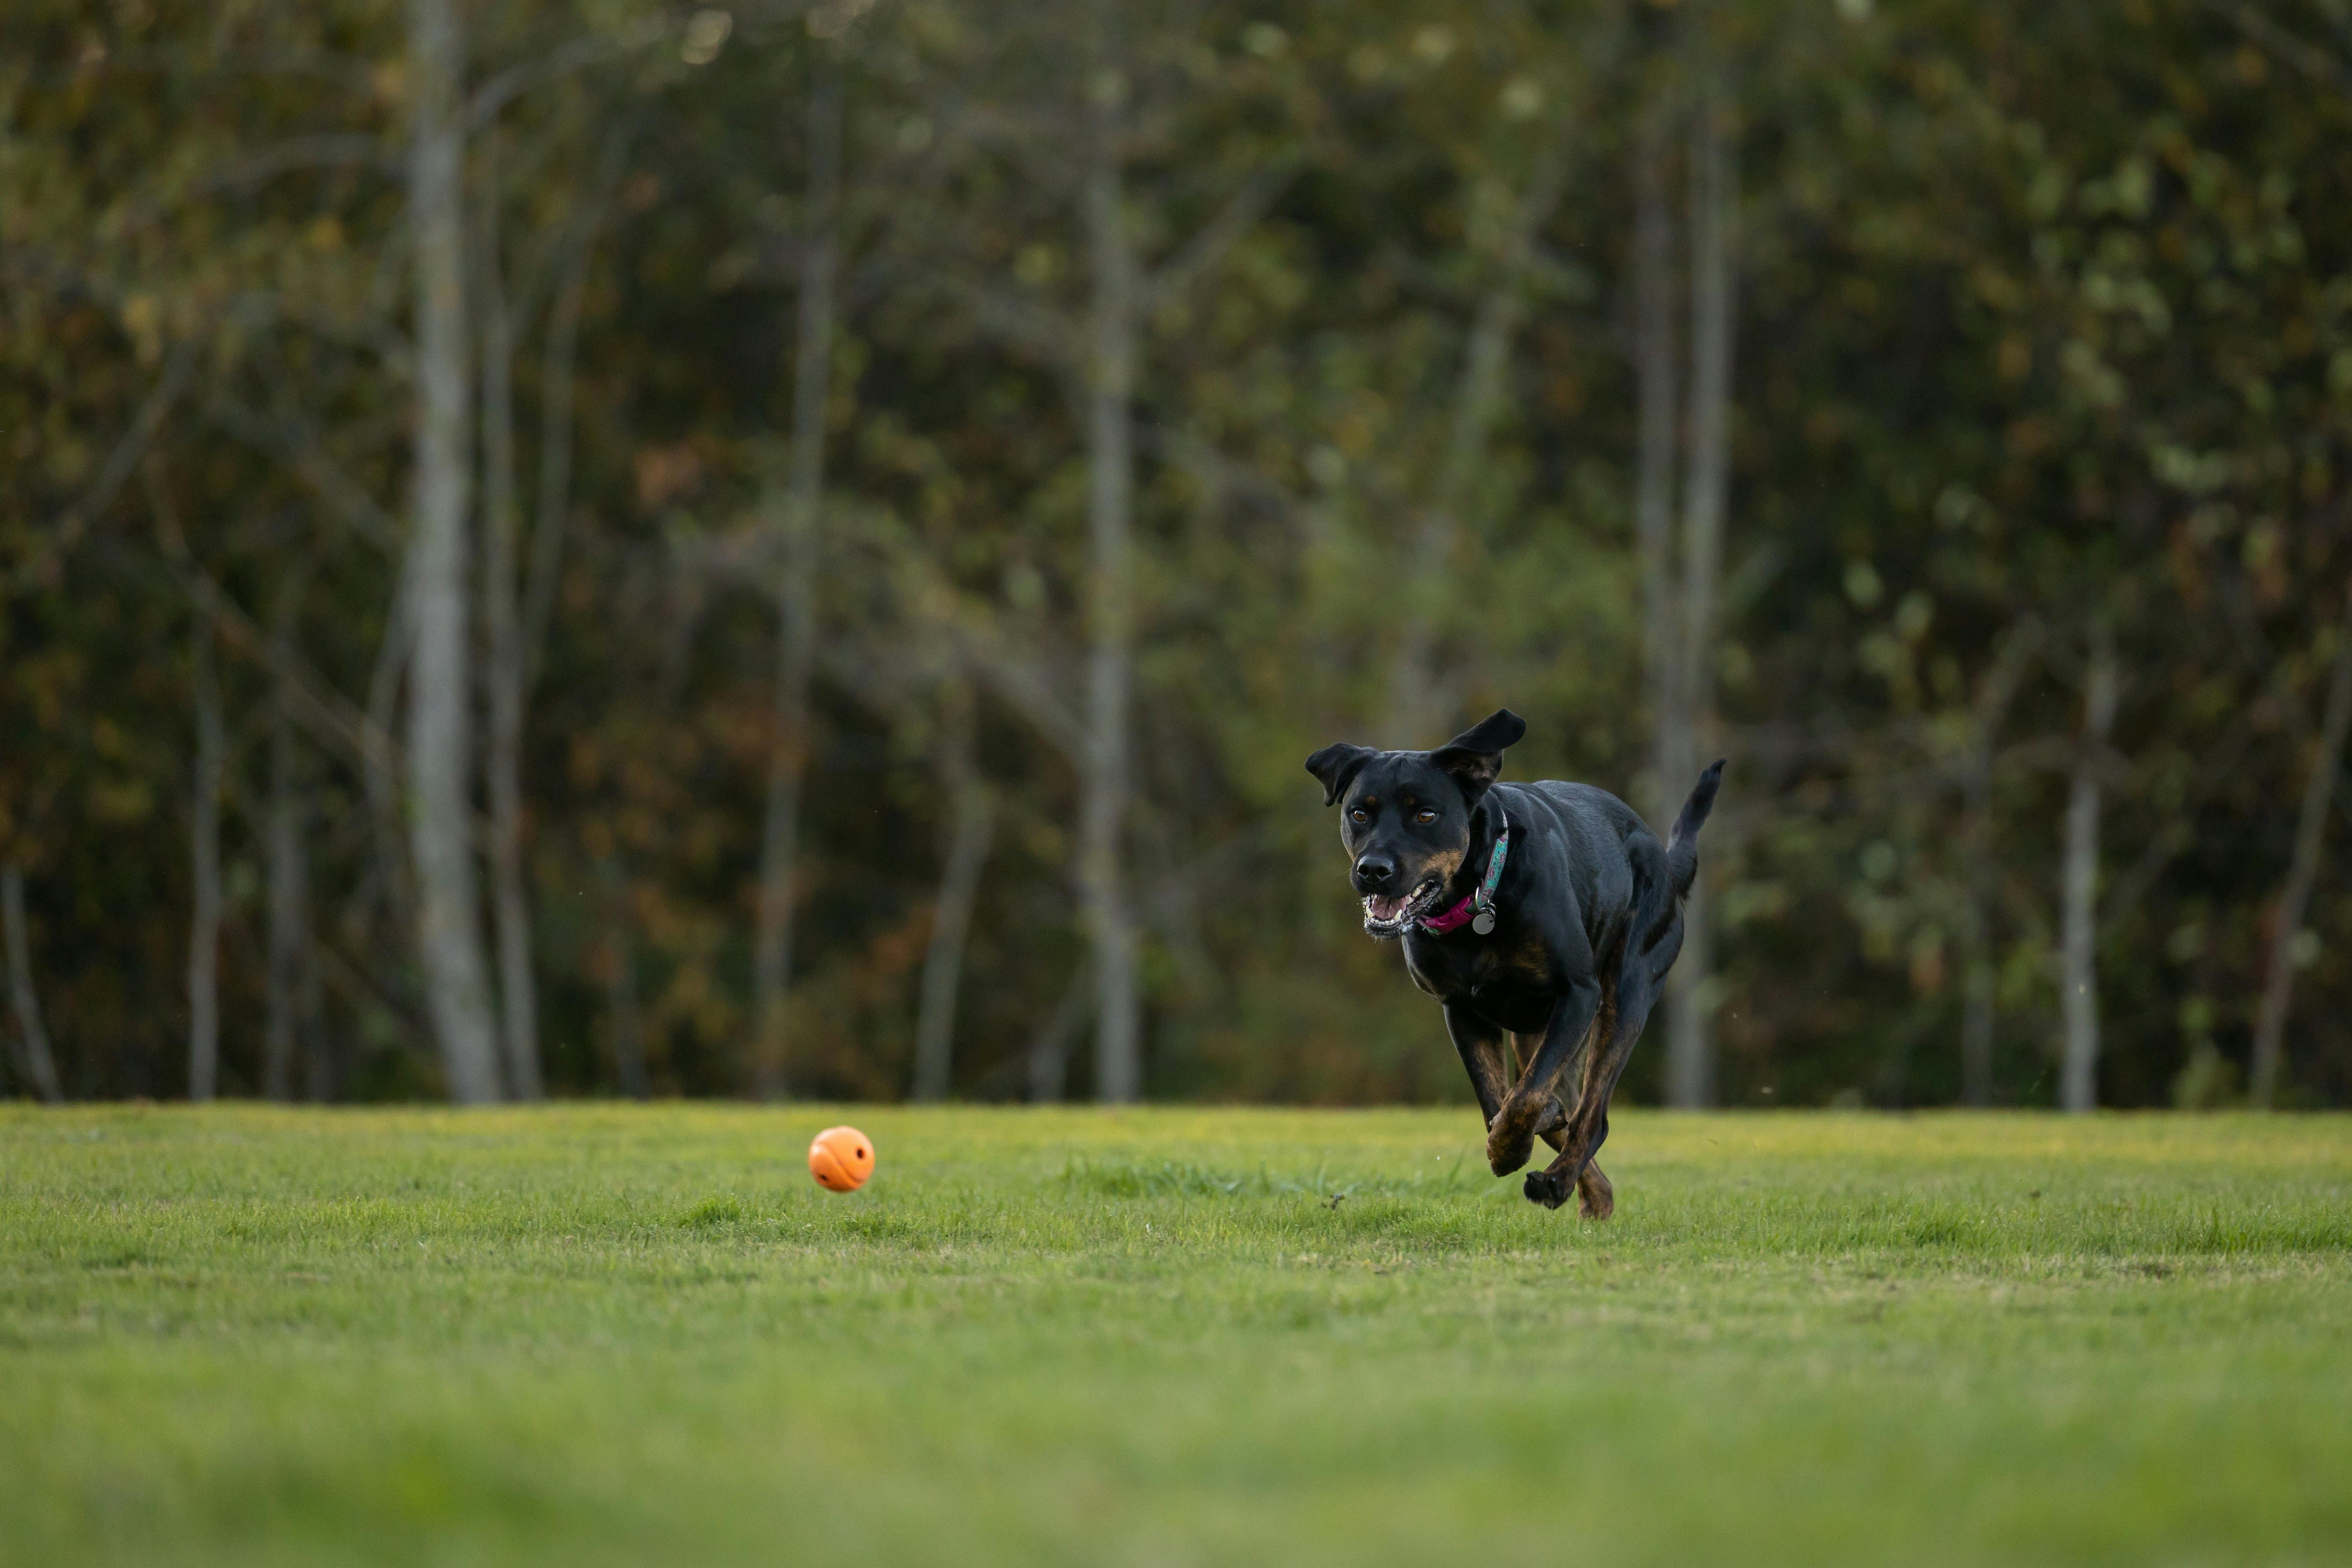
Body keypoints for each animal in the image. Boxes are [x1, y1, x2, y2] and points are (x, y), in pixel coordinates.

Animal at [1307, 710, 1712, 1213]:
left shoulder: (1578, 994)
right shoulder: (1460, 1008)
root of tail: (1666, 863)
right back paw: (1590, 1192)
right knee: (1566, 1109)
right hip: (1534, 1031)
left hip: (1626, 994)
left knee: (1592, 1115)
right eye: (1360, 813)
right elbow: (1497, 1096)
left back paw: (1557, 1181)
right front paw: (1512, 1138)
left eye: (1426, 815)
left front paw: (1508, 1150)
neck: (1480, 899)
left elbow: (1523, 1099)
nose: (1373, 870)